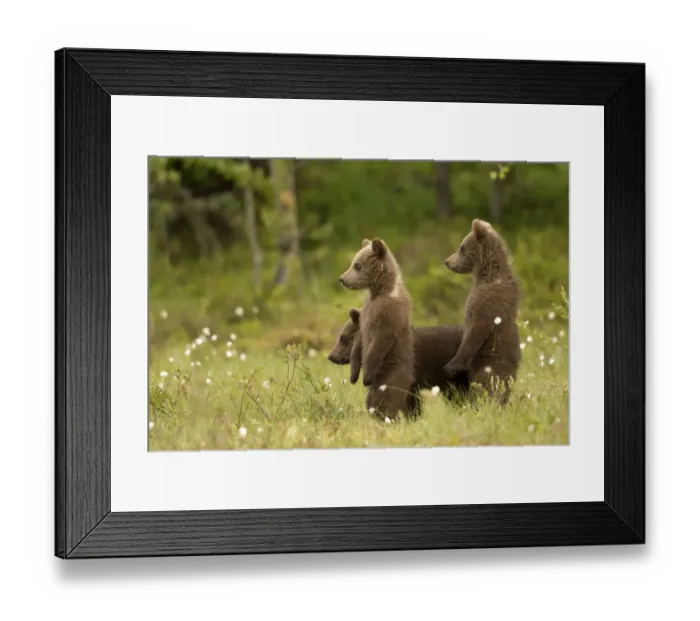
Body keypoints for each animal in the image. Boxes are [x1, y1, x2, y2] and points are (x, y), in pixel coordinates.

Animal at [338, 238, 419, 420]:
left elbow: (380, 341)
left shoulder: (388, 314)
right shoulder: (366, 313)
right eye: (353, 262)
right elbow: (359, 342)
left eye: (357, 265)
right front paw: (354, 375)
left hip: (393, 373)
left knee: (387, 399)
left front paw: (366, 376)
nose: (342, 279)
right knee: (372, 400)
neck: (381, 290)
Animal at [443, 218, 521, 404]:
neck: (488, 274)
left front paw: (451, 366)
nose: (447, 262)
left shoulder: (489, 304)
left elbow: (476, 331)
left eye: (462, 247)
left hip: (491, 364)